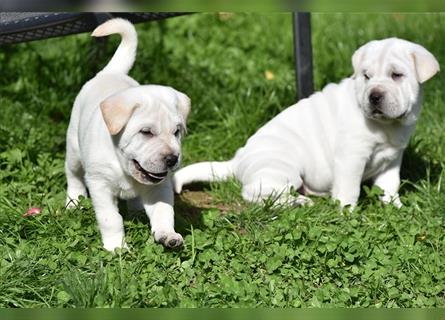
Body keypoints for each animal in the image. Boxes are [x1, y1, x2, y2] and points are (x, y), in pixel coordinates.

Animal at [64, 18, 189, 252]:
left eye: (176, 132)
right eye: (146, 132)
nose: (172, 159)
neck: (123, 166)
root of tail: (109, 73)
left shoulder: (160, 187)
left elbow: (163, 211)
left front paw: (168, 235)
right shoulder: (100, 184)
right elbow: (111, 219)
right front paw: (116, 248)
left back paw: (137, 207)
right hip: (74, 150)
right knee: (73, 175)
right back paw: (74, 201)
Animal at [173, 37, 438, 209]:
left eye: (397, 75)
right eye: (366, 76)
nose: (374, 95)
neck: (388, 126)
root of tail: (238, 161)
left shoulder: (393, 158)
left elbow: (390, 185)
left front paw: (395, 207)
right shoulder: (352, 157)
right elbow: (349, 189)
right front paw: (347, 213)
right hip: (282, 169)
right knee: (256, 193)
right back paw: (299, 202)